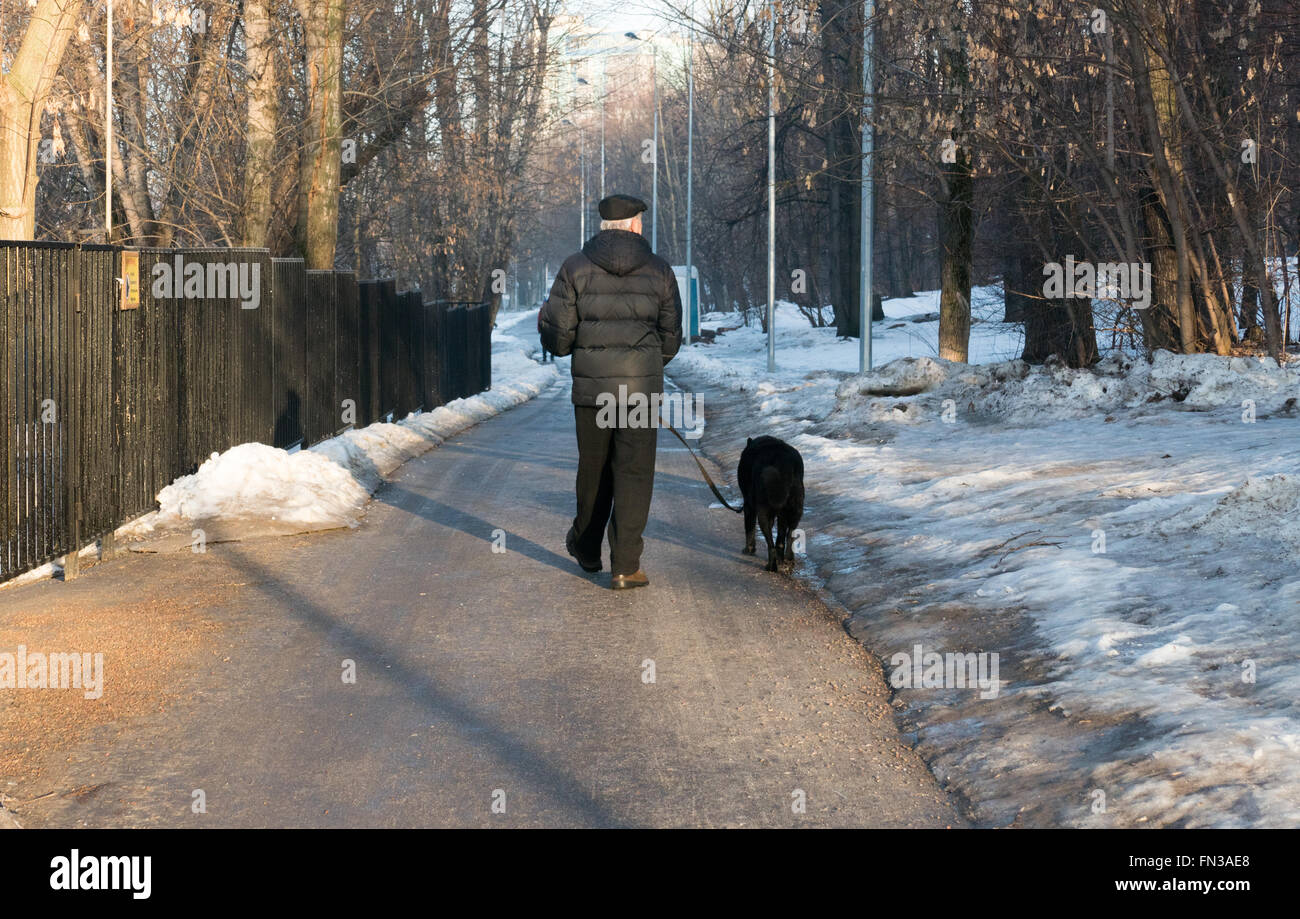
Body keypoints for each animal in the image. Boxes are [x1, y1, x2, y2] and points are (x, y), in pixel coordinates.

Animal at [743, 434, 800, 571]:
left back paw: (771, 566)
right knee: (786, 538)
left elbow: (749, 528)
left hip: (763, 512)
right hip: (795, 509)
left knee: (771, 544)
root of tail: (782, 460)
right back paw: (787, 560)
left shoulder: (749, 506)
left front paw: (749, 549)